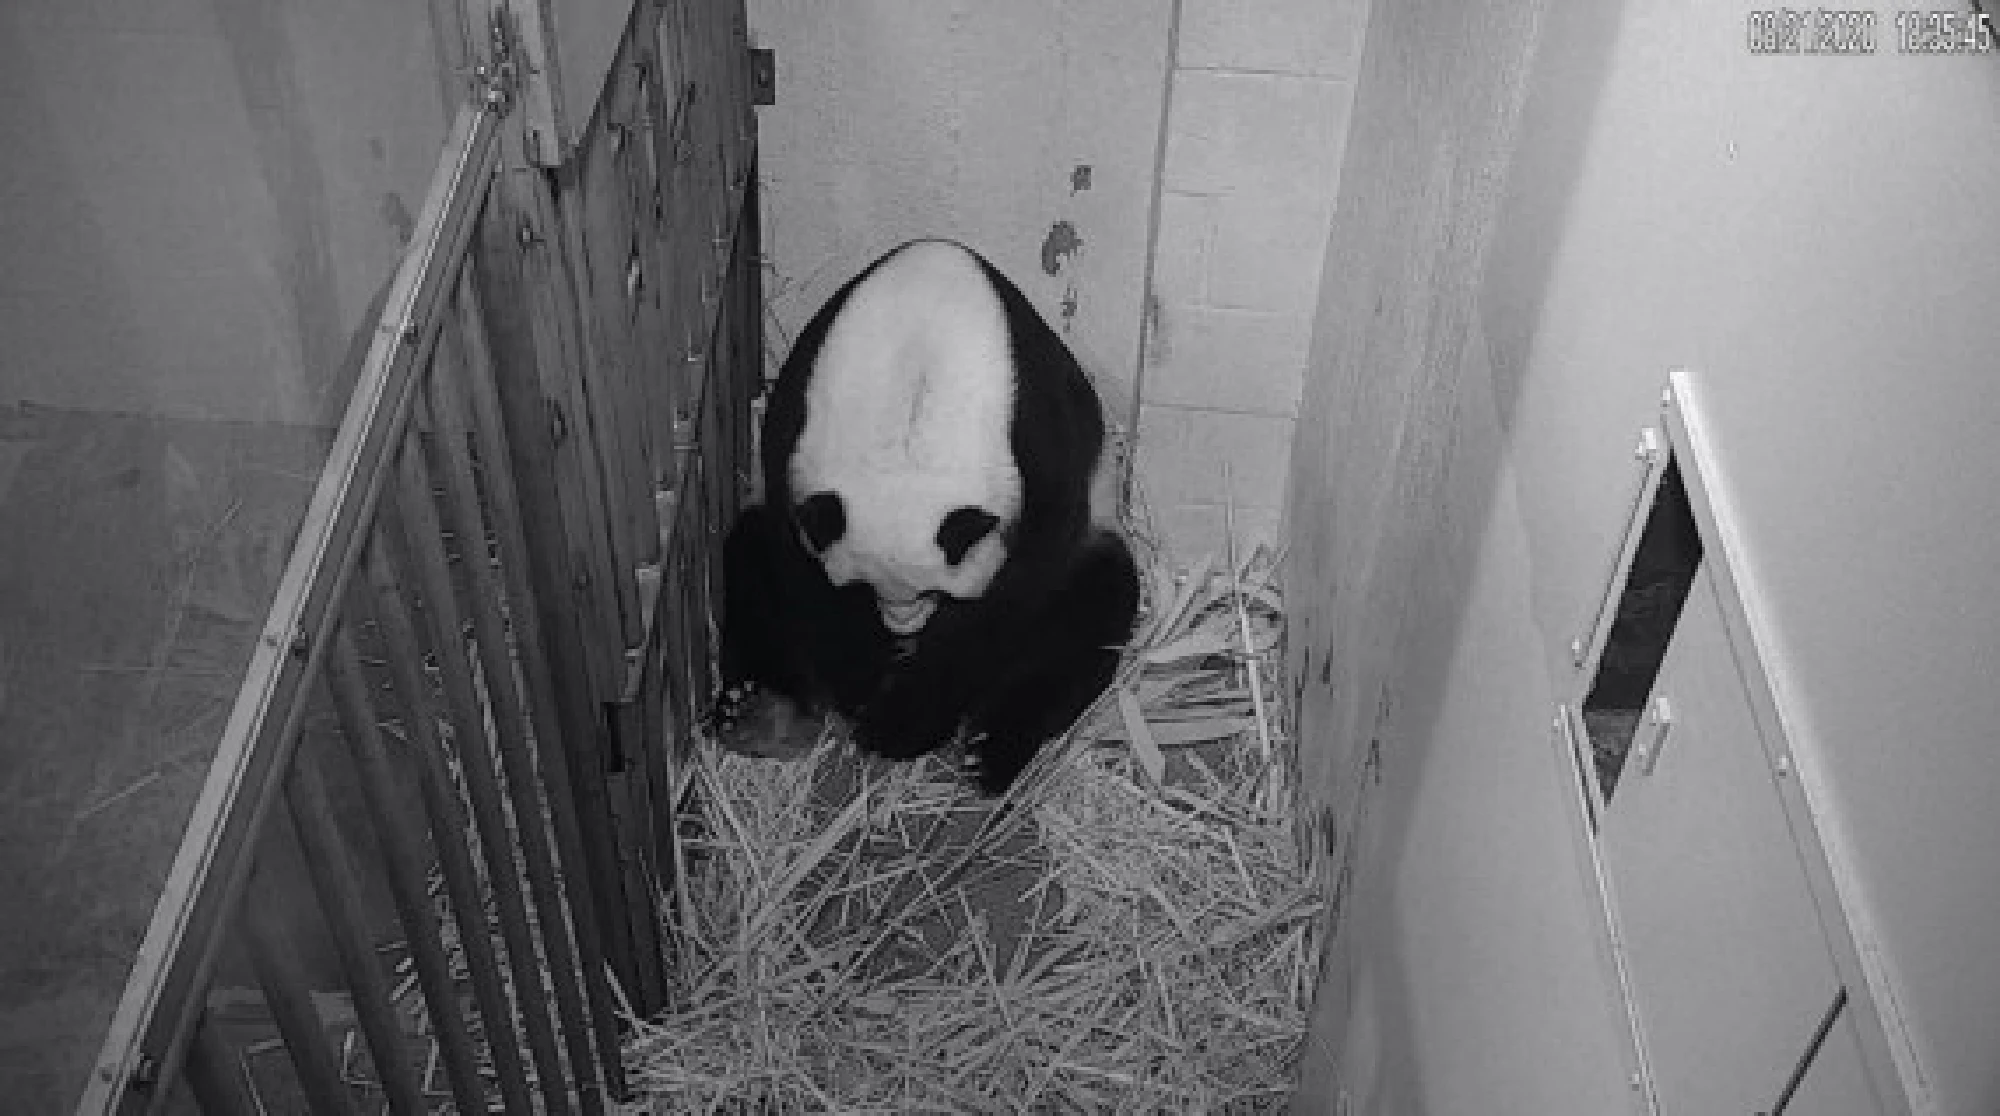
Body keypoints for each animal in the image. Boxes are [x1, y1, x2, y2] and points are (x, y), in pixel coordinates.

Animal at [711, 238, 1140, 794]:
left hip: (1097, 541)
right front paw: (864, 681)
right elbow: (800, 568)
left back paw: (990, 752)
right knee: (749, 561)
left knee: (1089, 614)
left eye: (935, 591)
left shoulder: (1037, 440)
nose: (902, 628)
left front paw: (901, 719)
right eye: (863, 587)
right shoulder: (795, 429)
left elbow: (1016, 590)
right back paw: (761, 714)